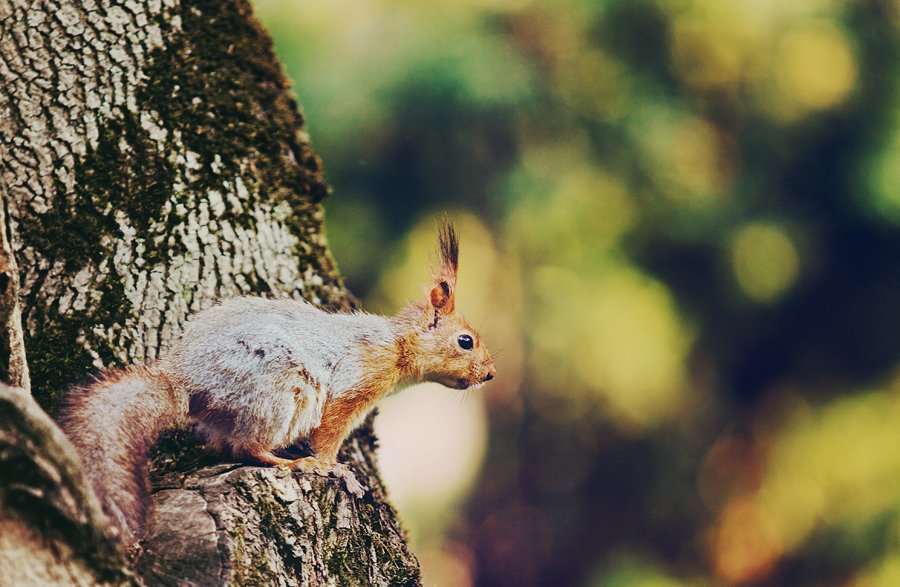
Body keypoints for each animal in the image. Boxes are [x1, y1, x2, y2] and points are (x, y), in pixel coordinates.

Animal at [59, 220, 496, 552]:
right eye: (466, 341)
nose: (490, 374)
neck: (398, 345)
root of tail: (187, 379)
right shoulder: (356, 382)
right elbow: (330, 433)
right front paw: (333, 467)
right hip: (281, 393)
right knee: (245, 447)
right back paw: (290, 462)